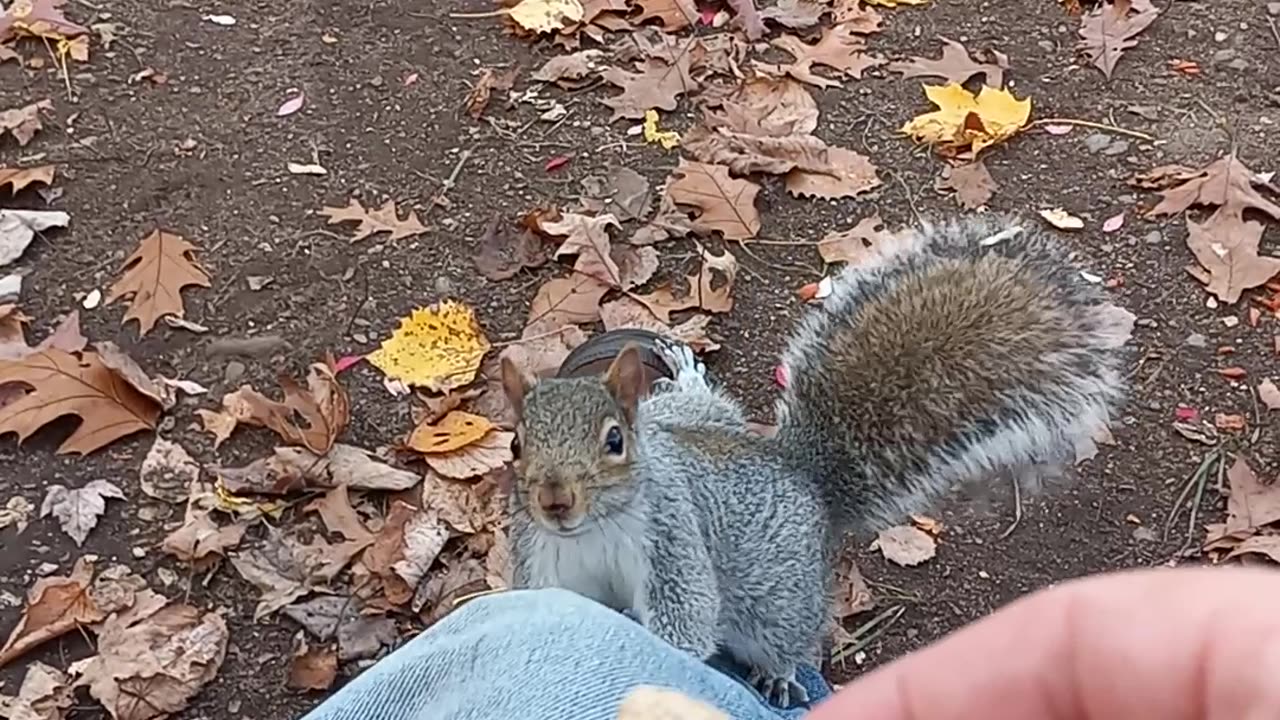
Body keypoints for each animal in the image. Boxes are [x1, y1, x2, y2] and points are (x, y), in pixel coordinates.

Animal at [496, 213, 1131, 707]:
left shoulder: (673, 539)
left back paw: (777, 675)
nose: (555, 502)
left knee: (787, 639)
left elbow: (685, 628)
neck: (593, 534)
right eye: (516, 445)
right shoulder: (545, 561)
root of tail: (801, 475)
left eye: (614, 441)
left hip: (779, 600)